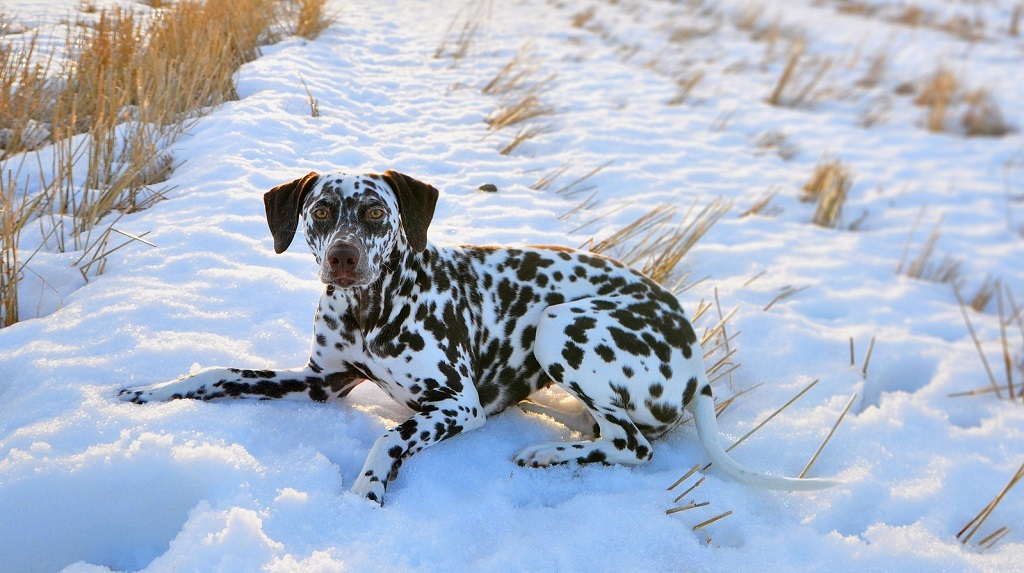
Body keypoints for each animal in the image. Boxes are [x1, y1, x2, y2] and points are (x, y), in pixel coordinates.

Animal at [119, 168, 839, 501]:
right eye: (321, 211)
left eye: (375, 212)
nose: (342, 258)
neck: (368, 310)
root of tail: (691, 345)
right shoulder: (322, 381)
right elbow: (219, 373)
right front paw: (152, 391)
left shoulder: (455, 405)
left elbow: (387, 436)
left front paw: (367, 489)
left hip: (560, 326)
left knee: (631, 446)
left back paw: (546, 455)